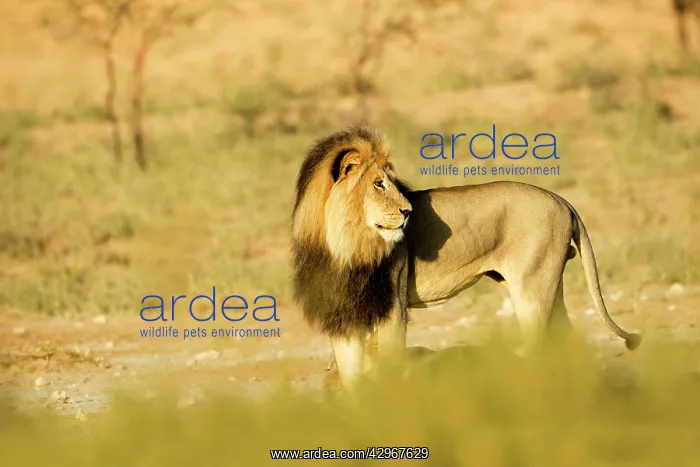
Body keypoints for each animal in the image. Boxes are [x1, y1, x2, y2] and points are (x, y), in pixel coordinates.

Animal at [291, 127, 641, 391]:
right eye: (378, 183)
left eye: (391, 182)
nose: (408, 211)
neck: (344, 245)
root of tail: (561, 199)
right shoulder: (342, 316)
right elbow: (352, 381)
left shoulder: (393, 309)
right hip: (549, 288)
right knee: (568, 340)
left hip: (532, 290)